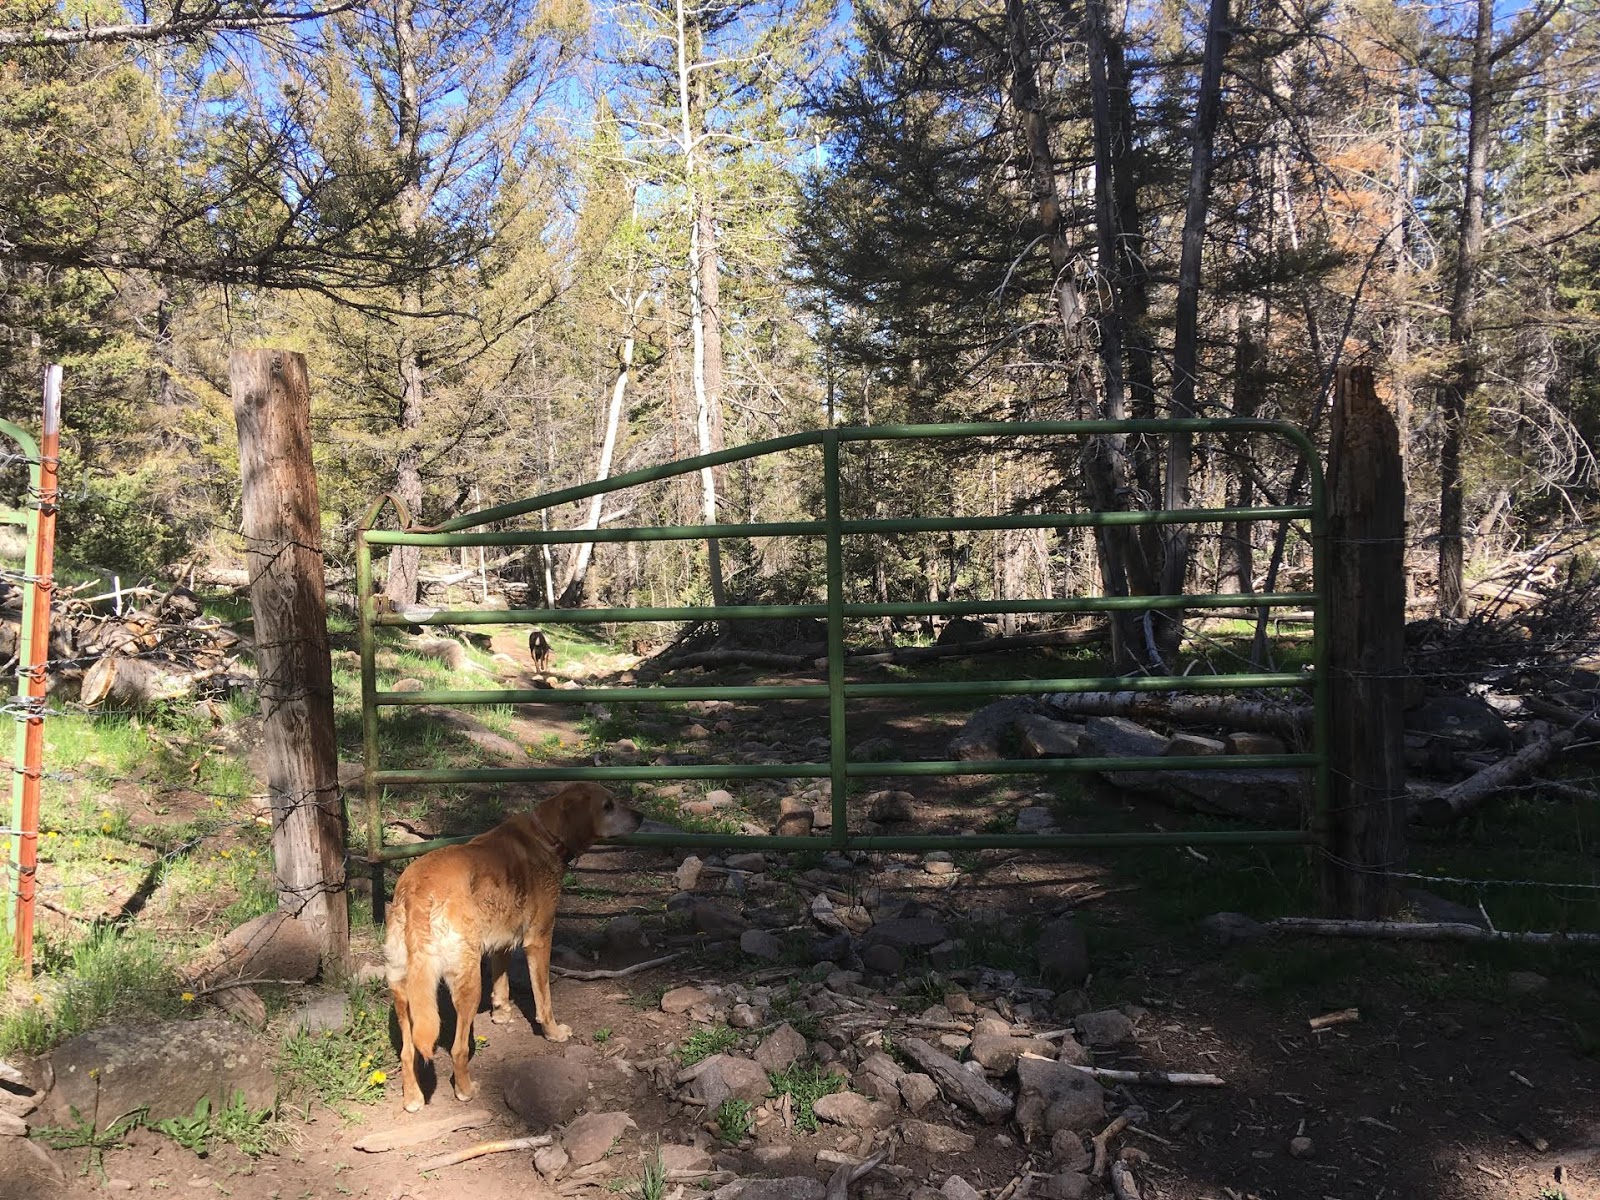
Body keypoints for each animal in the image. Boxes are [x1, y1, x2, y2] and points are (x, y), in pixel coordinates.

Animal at [384, 784, 640, 1113]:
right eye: (608, 805)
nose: (641, 816)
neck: (547, 835)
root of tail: (417, 892)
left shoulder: (501, 939)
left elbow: (501, 979)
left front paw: (501, 1012)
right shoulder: (539, 939)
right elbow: (544, 999)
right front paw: (553, 1033)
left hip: (403, 990)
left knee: (407, 1051)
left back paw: (414, 1097)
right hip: (467, 984)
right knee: (458, 1049)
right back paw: (465, 1090)